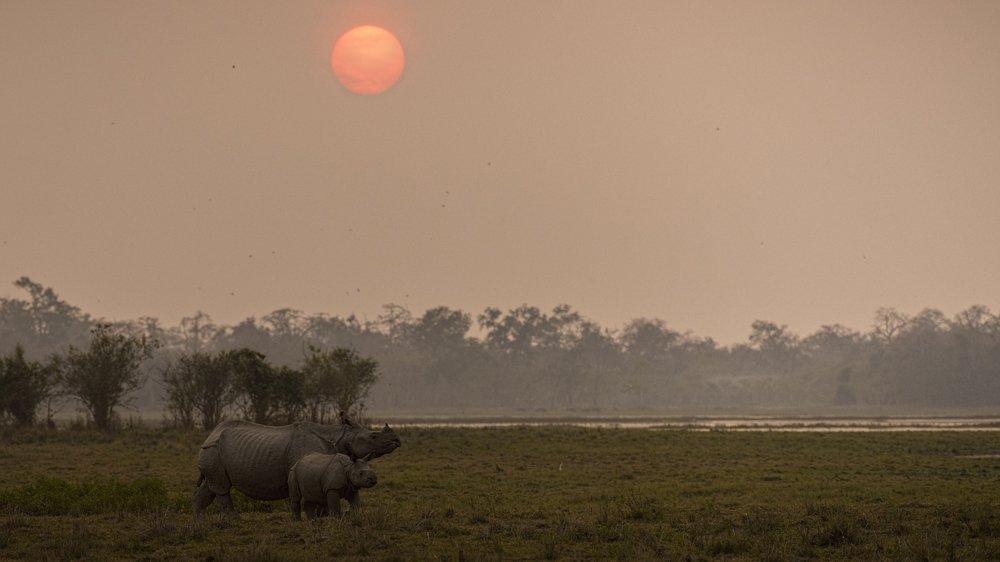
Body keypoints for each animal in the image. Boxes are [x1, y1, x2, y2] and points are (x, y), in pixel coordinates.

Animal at [193, 413, 400, 515]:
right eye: (374, 436)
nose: (397, 440)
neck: (340, 437)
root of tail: (210, 434)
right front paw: (322, 515)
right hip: (212, 450)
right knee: (221, 487)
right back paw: (233, 520)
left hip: (213, 451)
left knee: (211, 487)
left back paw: (199, 523)